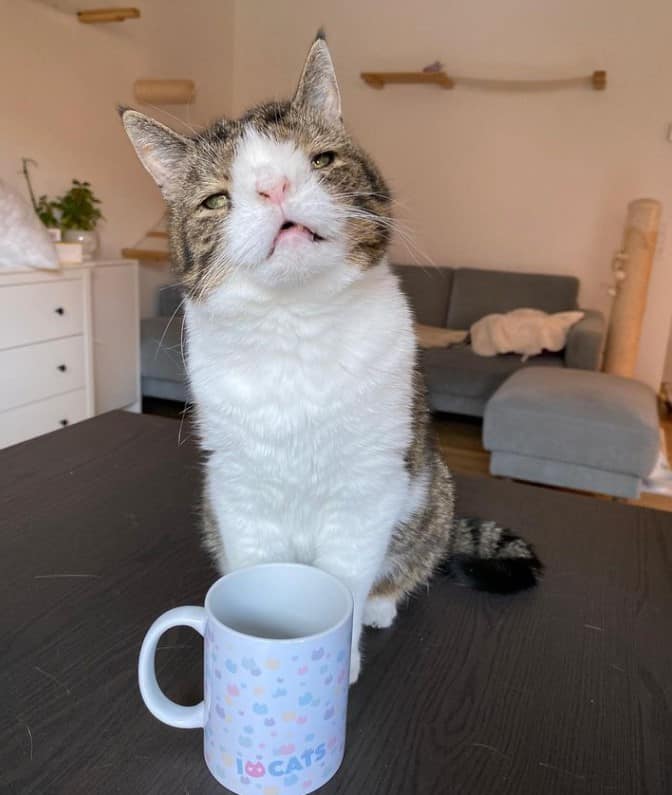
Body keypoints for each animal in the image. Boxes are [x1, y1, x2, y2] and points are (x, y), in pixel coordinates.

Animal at [119, 32, 540, 684]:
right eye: (215, 199)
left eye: (320, 160)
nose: (274, 187)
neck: (295, 326)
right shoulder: (238, 489)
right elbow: (255, 564)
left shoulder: (367, 488)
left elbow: (346, 579)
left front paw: (342, 658)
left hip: (432, 490)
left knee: (411, 557)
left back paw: (383, 605)